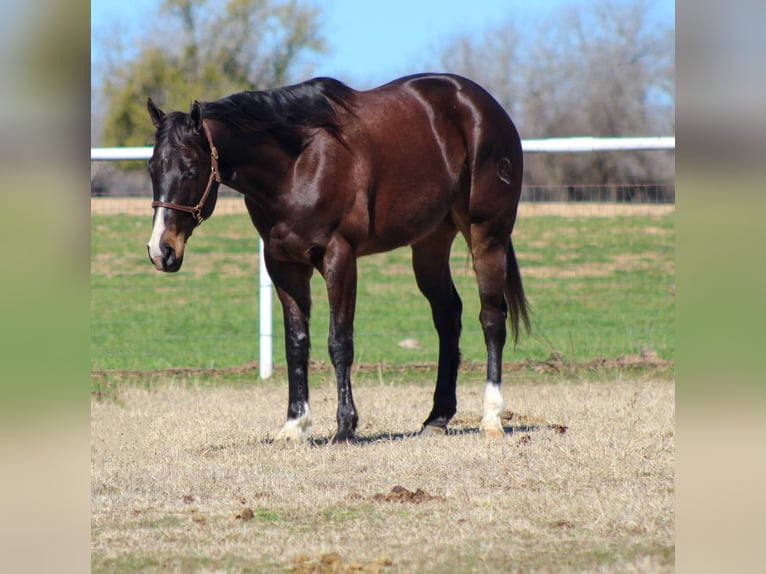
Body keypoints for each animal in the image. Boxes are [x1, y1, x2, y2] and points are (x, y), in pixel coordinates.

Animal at [148, 74, 536, 446]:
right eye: (152, 168)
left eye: (191, 170)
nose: (160, 251)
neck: (299, 163)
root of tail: (485, 106)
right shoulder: (283, 264)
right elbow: (296, 343)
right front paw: (294, 425)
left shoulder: (340, 258)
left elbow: (339, 341)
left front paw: (346, 426)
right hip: (430, 244)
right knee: (448, 316)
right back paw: (437, 419)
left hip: (487, 236)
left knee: (491, 319)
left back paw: (491, 418)